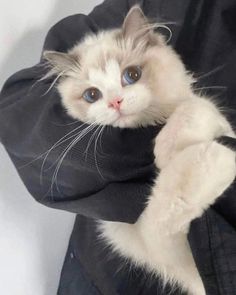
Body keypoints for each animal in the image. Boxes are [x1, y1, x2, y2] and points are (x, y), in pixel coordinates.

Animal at [42, 5, 236, 295]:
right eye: (92, 95)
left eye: (132, 75)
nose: (115, 102)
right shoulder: (162, 245)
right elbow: (174, 191)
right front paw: (213, 156)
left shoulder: (213, 119)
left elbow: (193, 109)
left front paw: (167, 148)